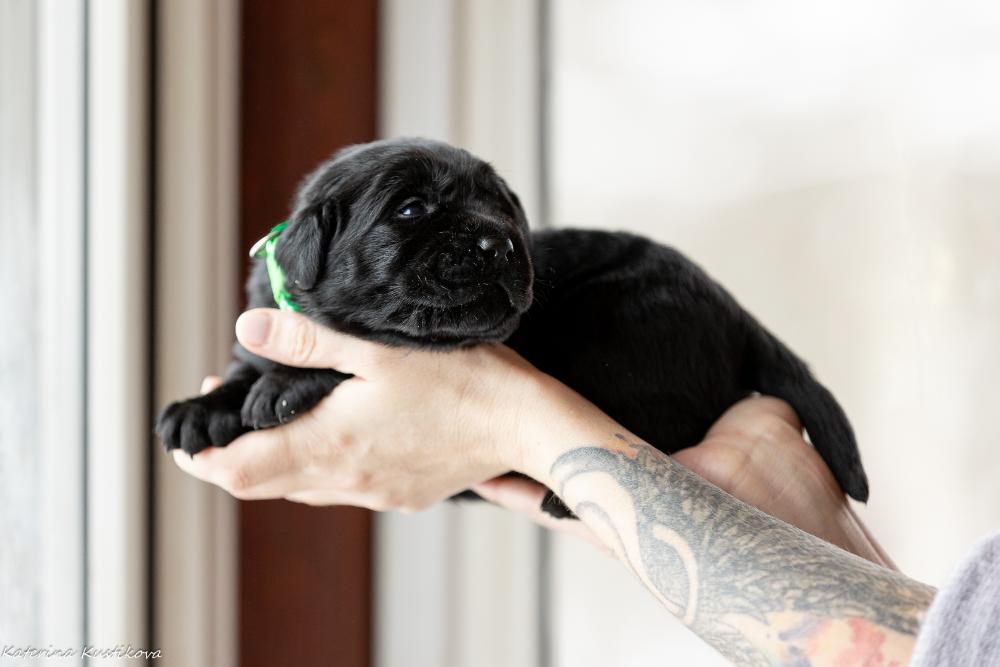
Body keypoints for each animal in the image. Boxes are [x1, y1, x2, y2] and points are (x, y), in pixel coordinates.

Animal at [157, 137, 868, 517]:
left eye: (505, 209)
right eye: (410, 209)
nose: (499, 244)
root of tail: (738, 312)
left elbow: (338, 354)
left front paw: (282, 385)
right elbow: (246, 362)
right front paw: (201, 407)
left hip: (624, 318)